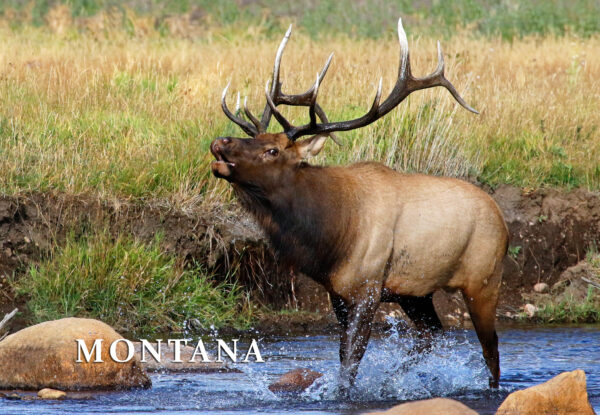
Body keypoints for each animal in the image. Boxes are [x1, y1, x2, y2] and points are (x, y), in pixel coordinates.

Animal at [210, 18, 506, 390]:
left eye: (272, 150)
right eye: (257, 138)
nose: (220, 142)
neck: (330, 238)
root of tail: (502, 218)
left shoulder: (367, 289)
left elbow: (350, 362)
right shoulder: (337, 292)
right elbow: (343, 358)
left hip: (484, 279)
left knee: (490, 351)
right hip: (415, 292)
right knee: (431, 335)